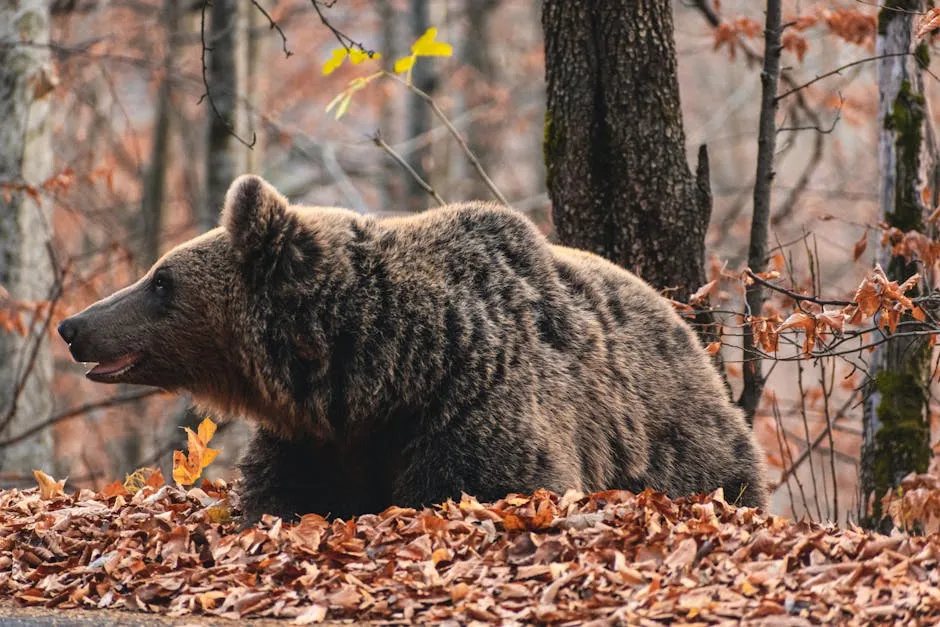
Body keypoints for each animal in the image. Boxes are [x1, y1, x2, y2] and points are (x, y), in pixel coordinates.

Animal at [58, 174, 768, 522]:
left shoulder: (473, 403)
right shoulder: (320, 438)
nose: (74, 326)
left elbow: (488, 482)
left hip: (680, 449)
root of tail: (689, 333)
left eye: (161, 281)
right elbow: (282, 495)